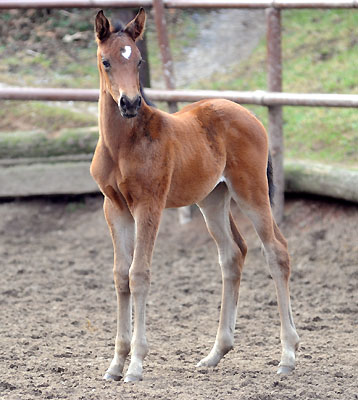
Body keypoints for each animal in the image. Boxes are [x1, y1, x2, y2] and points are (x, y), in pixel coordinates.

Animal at [91, 9, 298, 382]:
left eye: (139, 60)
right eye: (106, 61)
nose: (130, 103)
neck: (122, 145)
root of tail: (252, 116)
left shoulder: (149, 205)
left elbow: (139, 273)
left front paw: (136, 364)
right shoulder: (114, 207)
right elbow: (120, 276)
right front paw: (115, 365)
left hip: (251, 191)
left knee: (276, 250)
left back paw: (287, 356)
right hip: (213, 200)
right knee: (233, 254)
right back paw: (215, 353)